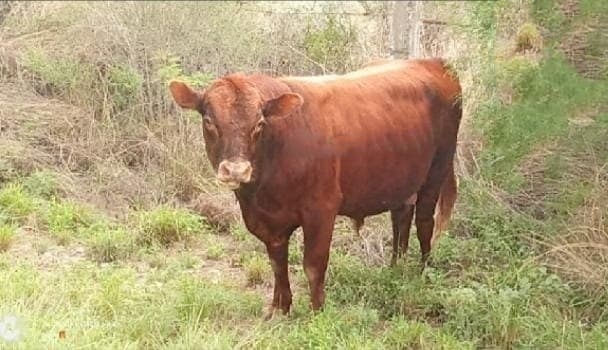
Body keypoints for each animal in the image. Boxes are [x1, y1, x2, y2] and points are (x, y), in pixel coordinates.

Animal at [169, 58, 464, 318]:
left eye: (260, 124)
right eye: (208, 120)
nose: (236, 170)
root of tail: (434, 62)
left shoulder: (321, 210)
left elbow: (313, 265)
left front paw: (316, 313)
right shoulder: (268, 223)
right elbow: (277, 263)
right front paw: (279, 309)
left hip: (437, 169)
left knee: (424, 223)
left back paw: (422, 274)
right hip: (401, 179)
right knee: (401, 218)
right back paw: (396, 269)